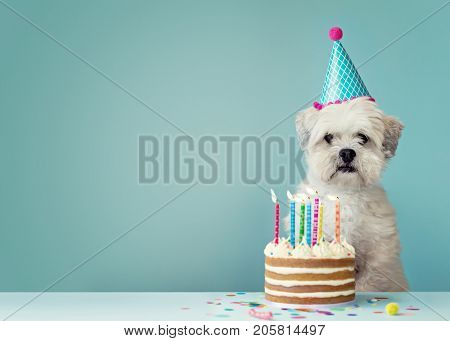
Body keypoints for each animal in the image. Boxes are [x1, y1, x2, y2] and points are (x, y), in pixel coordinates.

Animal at [292, 97, 408, 290]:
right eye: (328, 137)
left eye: (362, 137)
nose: (347, 152)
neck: (344, 192)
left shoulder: (379, 254)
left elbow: (369, 281)